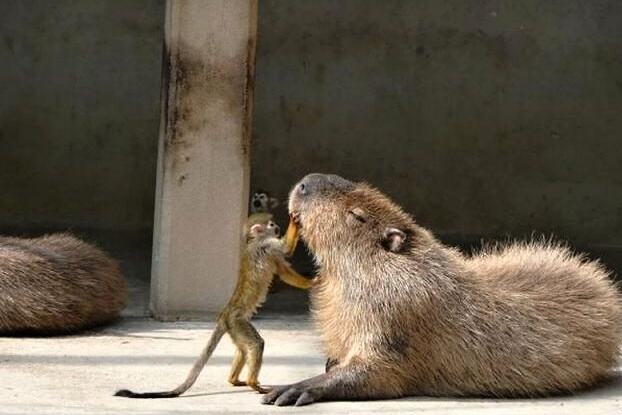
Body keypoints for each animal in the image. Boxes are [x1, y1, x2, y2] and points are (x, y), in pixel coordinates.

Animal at [116, 221, 316, 400]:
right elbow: (286, 249)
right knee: (256, 344)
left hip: (235, 327)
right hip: (238, 321)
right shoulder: (268, 245)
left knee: (244, 348)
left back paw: (234, 380)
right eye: (271, 225)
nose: (277, 227)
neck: (256, 240)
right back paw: (252, 383)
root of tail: (224, 314)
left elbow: (284, 272)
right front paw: (295, 221)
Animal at [262, 174, 622, 408]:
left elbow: (377, 372)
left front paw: (290, 389)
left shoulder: (394, 317)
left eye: (357, 215)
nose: (305, 183)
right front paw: (326, 363)